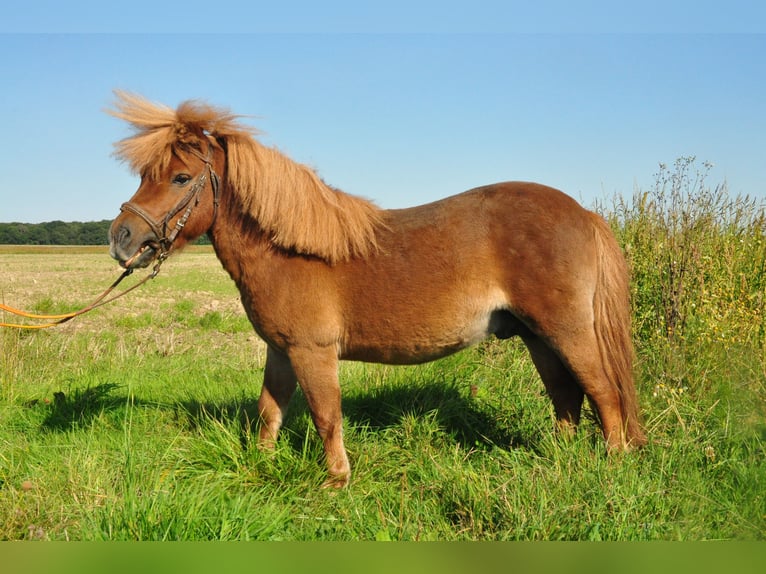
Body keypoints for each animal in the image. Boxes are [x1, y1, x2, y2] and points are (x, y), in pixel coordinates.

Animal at [109, 92, 648, 488]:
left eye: (181, 178)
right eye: (146, 175)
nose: (121, 238)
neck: (288, 249)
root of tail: (583, 213)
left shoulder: (312, 351)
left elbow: (326, 415)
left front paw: (336, 480)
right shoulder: (281, 351)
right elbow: (269, 410)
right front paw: (262, 463)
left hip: (568, 331)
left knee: (603, 392)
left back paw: (614, 464)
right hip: (538, 336)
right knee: (566, 397)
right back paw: (559, 459)